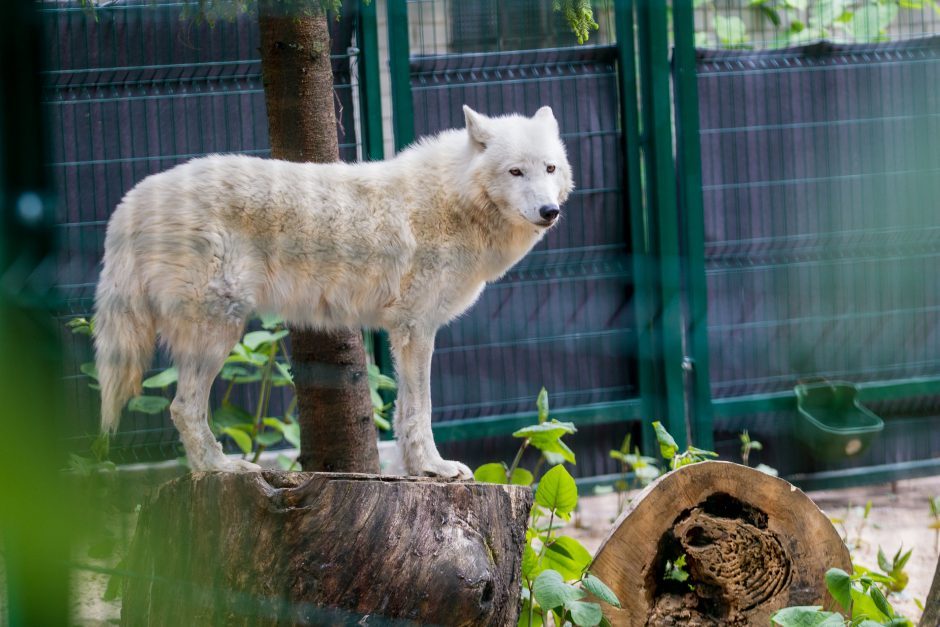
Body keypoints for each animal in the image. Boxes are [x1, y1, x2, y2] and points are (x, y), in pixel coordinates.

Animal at [95, 105, 572, 478]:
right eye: (515, 171)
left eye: (550, 169)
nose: (550, 211)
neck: (452, 198)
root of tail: (131, 200)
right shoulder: (416, 328)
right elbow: (421, 409)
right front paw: (435, 468)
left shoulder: (405, 330)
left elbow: (403, 410)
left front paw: (417, 471)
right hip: (219, 332)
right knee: (183, 408)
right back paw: (220, 468)